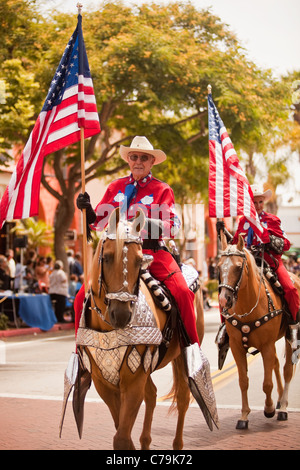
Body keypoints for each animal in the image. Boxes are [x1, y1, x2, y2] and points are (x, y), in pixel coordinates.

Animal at [73, 209, 206, 448]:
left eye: (138, 261)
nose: (121, 314)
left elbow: (122, 437)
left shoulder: (133, 379)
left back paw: (177, 444)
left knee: (183, 397)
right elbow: (121, 431)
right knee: (152, 394)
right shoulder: (104, 382)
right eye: (106, 257)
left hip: (182, 354)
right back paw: (146, 440)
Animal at [217, 231, 298, 430]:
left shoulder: (267, 345)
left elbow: (267, 383)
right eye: (219, 267)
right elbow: (243, 381)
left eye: (238, 267)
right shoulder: (237, 348)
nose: (223, 300)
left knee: (287, 369)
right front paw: (244, 416)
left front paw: (269, 409)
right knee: (276, 364)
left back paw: (283, 408)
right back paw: (279, 400)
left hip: (287, 339)